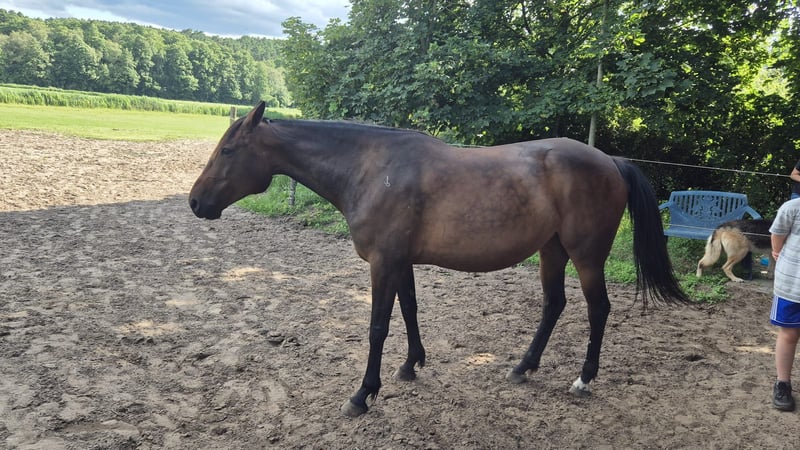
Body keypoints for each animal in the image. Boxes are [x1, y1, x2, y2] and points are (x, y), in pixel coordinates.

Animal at [189, 101, 689, 417]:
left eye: (228, 150)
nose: (195, 202)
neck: (373, 170)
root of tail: (609, 160)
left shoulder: (383, 262)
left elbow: (377, 326)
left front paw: (363, 394)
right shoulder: (400, 261)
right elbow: (410, 309)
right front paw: (412, 365)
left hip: (586, 255)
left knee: (598, 309)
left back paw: (583, 379)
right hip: (552, 250)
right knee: (554, 305)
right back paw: (523, 367)